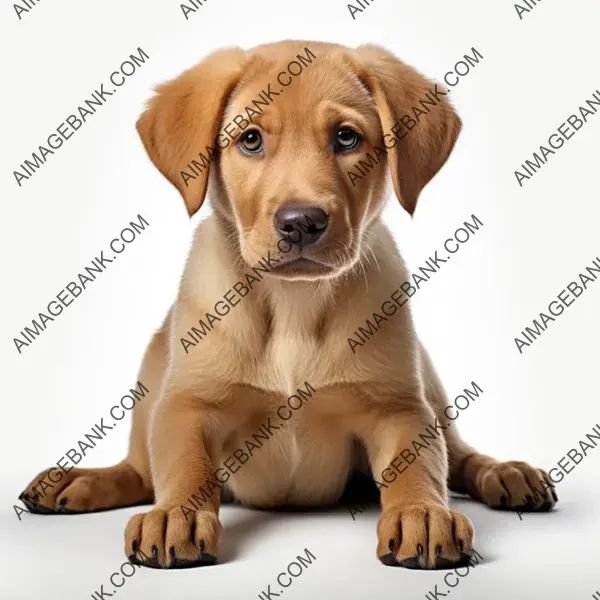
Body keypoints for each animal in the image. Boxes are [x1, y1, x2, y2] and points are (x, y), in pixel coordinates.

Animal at [19, 41, 556, 568]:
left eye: (346, 138)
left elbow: (418, 465)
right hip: (152, 370)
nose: (301, 222)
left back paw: (506, 472)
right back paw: (82, 479)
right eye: (251, 139)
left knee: (459, 456)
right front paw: (176, 514)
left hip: (429, 381)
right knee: (139, 470)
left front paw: (421, 513)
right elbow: (187, 465)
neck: (292, 303)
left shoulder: (398, 407)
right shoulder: (188, 403)